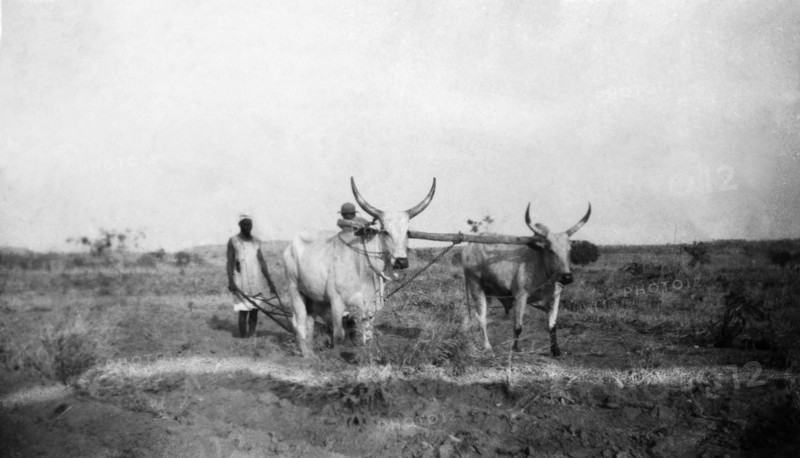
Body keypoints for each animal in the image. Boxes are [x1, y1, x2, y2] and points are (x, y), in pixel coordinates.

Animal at [283, 177, 436, 357]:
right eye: (385, 231)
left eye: (407, 232)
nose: (401, 262)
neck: (363, 268)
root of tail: (291, 245)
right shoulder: (336, 301)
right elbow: (339, 334)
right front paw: (336, 357)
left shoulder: (370, 306)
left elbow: (368, 335)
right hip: (294, 289)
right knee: (299, 322)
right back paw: (307, 355)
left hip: (313, 296)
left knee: (309, 322)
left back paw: (311, 352)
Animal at [462, 203, 591, 356]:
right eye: (551, 250)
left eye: (569, 250)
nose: (567, 277)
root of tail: (469, 247)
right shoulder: (520, 296)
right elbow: (518, 326)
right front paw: (514, 348)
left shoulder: (555, 298)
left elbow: (552, 325)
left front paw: (555, 350)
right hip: (475, 286)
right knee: (481, 317)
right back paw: (487, 347)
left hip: (489, 292)